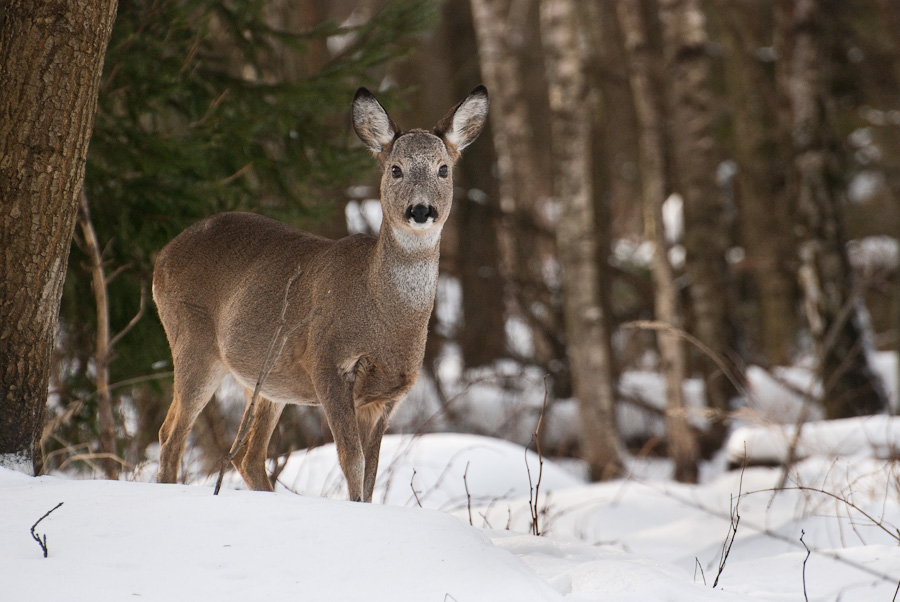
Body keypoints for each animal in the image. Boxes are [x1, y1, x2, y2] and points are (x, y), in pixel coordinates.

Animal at [156, 82, 492, 500]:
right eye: (395, 169)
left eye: (443, 169)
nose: (420, 210)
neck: (384, 315)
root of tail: (162, 256)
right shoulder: (327, 362)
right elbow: (353, 462)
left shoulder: (387, 394)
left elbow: (371, 473)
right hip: (193, 340)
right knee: (173, 433)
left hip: (267, 380)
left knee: (246, 454)